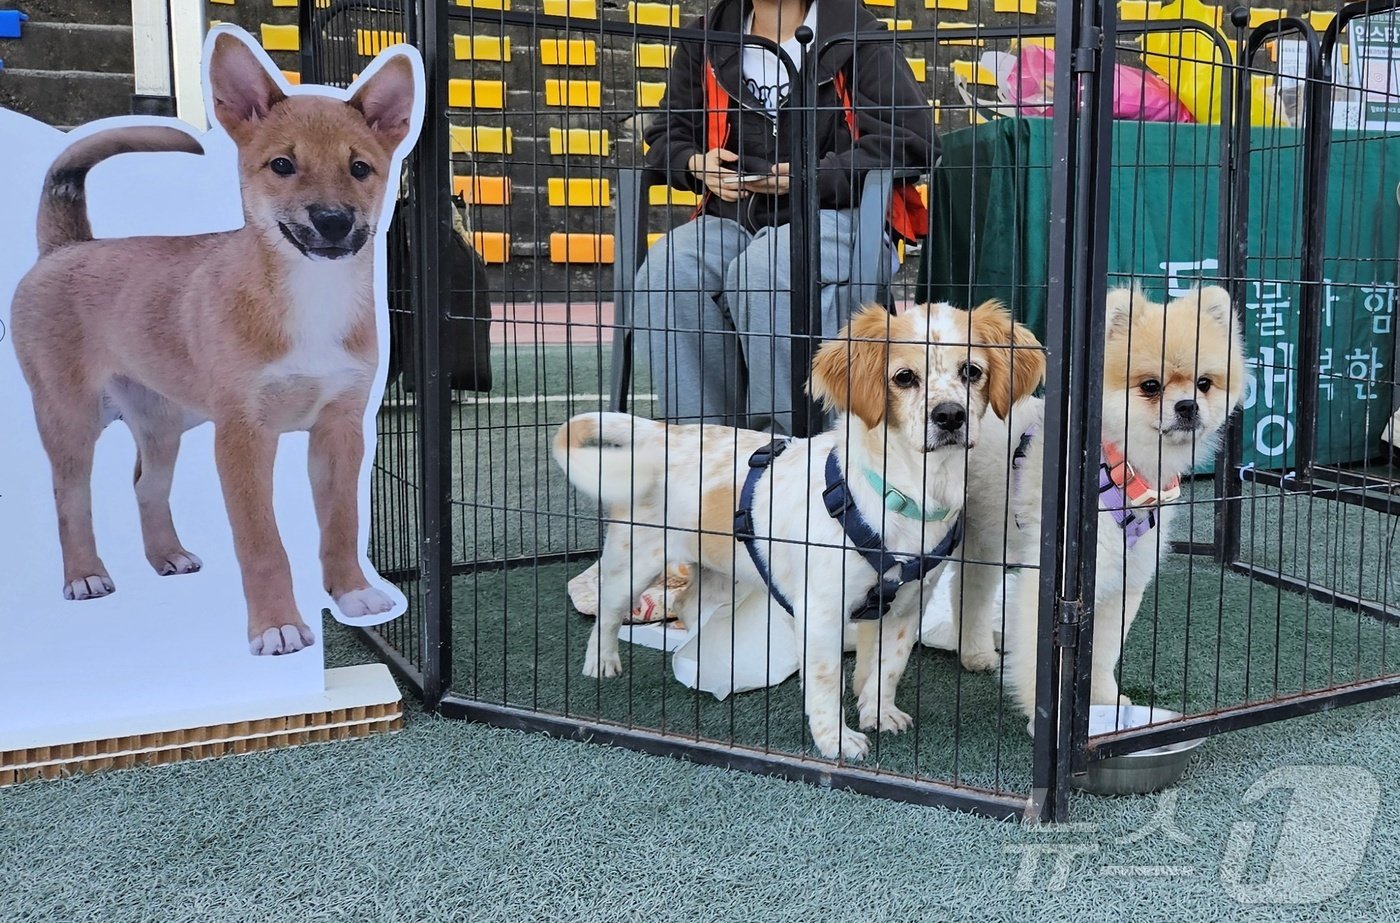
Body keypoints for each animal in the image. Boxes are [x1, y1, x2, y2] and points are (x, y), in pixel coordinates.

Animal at [9, 34, 414, 658]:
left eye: (360, 168)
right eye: (282, 165)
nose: (332, 221)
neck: (309, 296)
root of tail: (64, 247)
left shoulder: (341, 429)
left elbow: (342, 523)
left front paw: (352, 594)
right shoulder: (243, 437)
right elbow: (263, 543)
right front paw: (276, 626)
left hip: (160, 423)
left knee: (146, 486)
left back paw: (168, 556)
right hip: (69, 418)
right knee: (69, 499)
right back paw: (85, 575)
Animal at [551, 303, 1047, 756]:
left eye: (971, 371)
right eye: (905, 377)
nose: (950, 416)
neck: (903, 496)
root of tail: (662, 435)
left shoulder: (907, 607)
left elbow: (887, 668)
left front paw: (879, 712)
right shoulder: (821, 611)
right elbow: (825, 682)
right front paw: (837, 741)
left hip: (724, 571)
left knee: (690, 602)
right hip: (633, 561)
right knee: (609, 612)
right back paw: (602, 663)